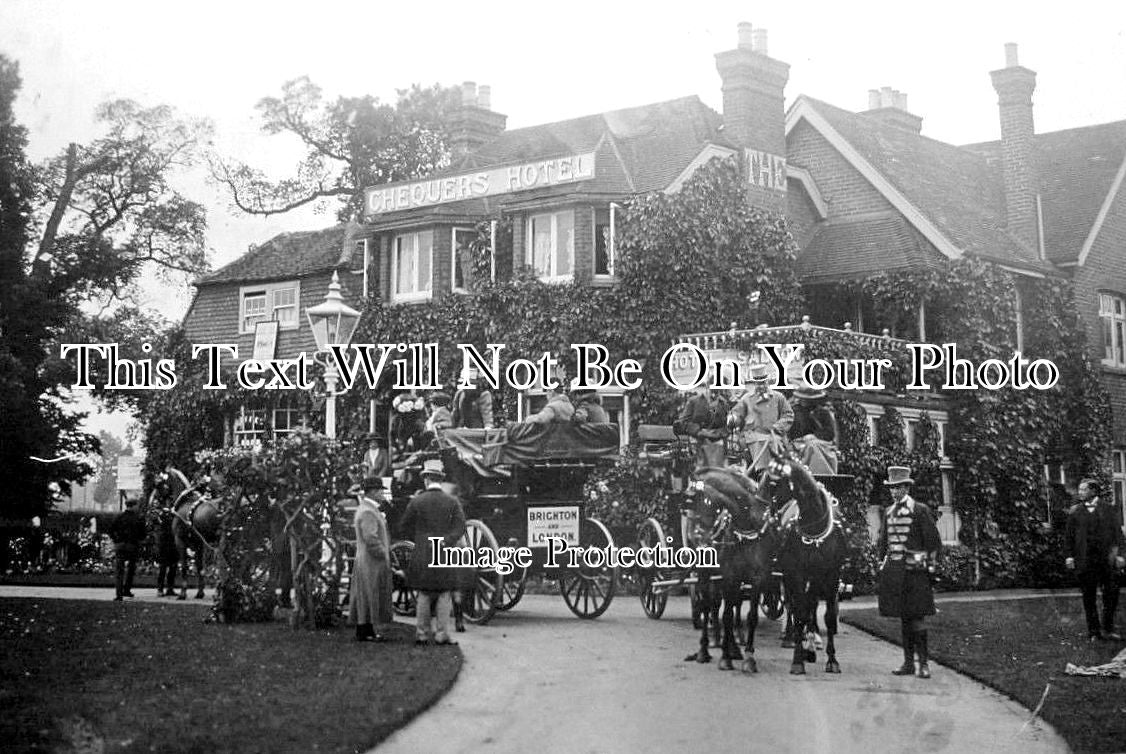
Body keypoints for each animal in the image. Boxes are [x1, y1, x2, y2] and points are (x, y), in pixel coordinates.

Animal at [154, 470, 224, 598]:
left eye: (158, 484)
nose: (155, 501)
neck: (185, 502)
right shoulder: (199, 543)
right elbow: (200, 567)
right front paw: (200, 592)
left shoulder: (180, 540)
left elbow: (184, 566)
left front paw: (183, 592)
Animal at [680, 465, 779, 675]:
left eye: (694, 500)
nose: (703, 542)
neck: (747, 525)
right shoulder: (729, 577)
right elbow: (725, 615)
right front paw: (725, 657)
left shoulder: (757, 578)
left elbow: (750, 616)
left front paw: (748, 657)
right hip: (705, 574)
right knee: (707, 605)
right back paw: (704, 649)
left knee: (730, 606)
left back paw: (733, 647)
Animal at [770, 454, 846, 679]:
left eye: (774, 481)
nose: (770, 512)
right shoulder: (796, 574)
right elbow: (800, 613)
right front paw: (798, 659)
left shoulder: (831, 575)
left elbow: (828, 617)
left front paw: (831, 659)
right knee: (793, 605)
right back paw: (791, 636)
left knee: (811, 605)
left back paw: (812, 641)